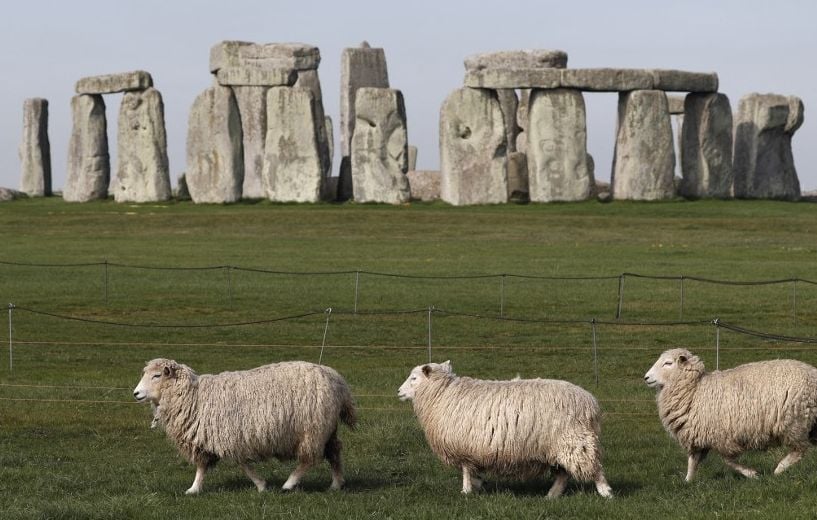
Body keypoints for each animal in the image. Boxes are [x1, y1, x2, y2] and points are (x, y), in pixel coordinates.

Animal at [132, 358, 356, 496]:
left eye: (156, 376)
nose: (135, 394)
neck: (193, 397)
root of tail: (337, 380)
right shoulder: (206, 439)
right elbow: (202, 467)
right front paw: (194, 489)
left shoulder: (231, 436)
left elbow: (243, 465)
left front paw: (261, 485)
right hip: (327, 428)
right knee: (334, 451)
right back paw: (336, 484)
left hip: (312, 430)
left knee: (309, 460)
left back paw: (289, 484)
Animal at [396, 360, 612, 498]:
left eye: (414, 378)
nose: (398, 391)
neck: (442, 394)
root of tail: (590, 402)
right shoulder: (473, 449)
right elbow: (473, 470)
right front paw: (478, 485)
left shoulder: (463, 446)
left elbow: (465, 470)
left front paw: (466, 491)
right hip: (557, 446)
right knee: (563, 474)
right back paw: (551, 495)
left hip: (574, 440)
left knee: (593, 468)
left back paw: (605, 493)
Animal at [644, 348, 816, 482]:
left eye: (668, 363)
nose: (646, 377)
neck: (695, 390)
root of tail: (813, 372)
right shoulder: (697, 436)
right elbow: (693, 462)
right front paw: (687, 481)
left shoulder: (723, 437)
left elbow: (728, 461)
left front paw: (752, 474)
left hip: (795, 422)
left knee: (799, 450)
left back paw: (779, 469)